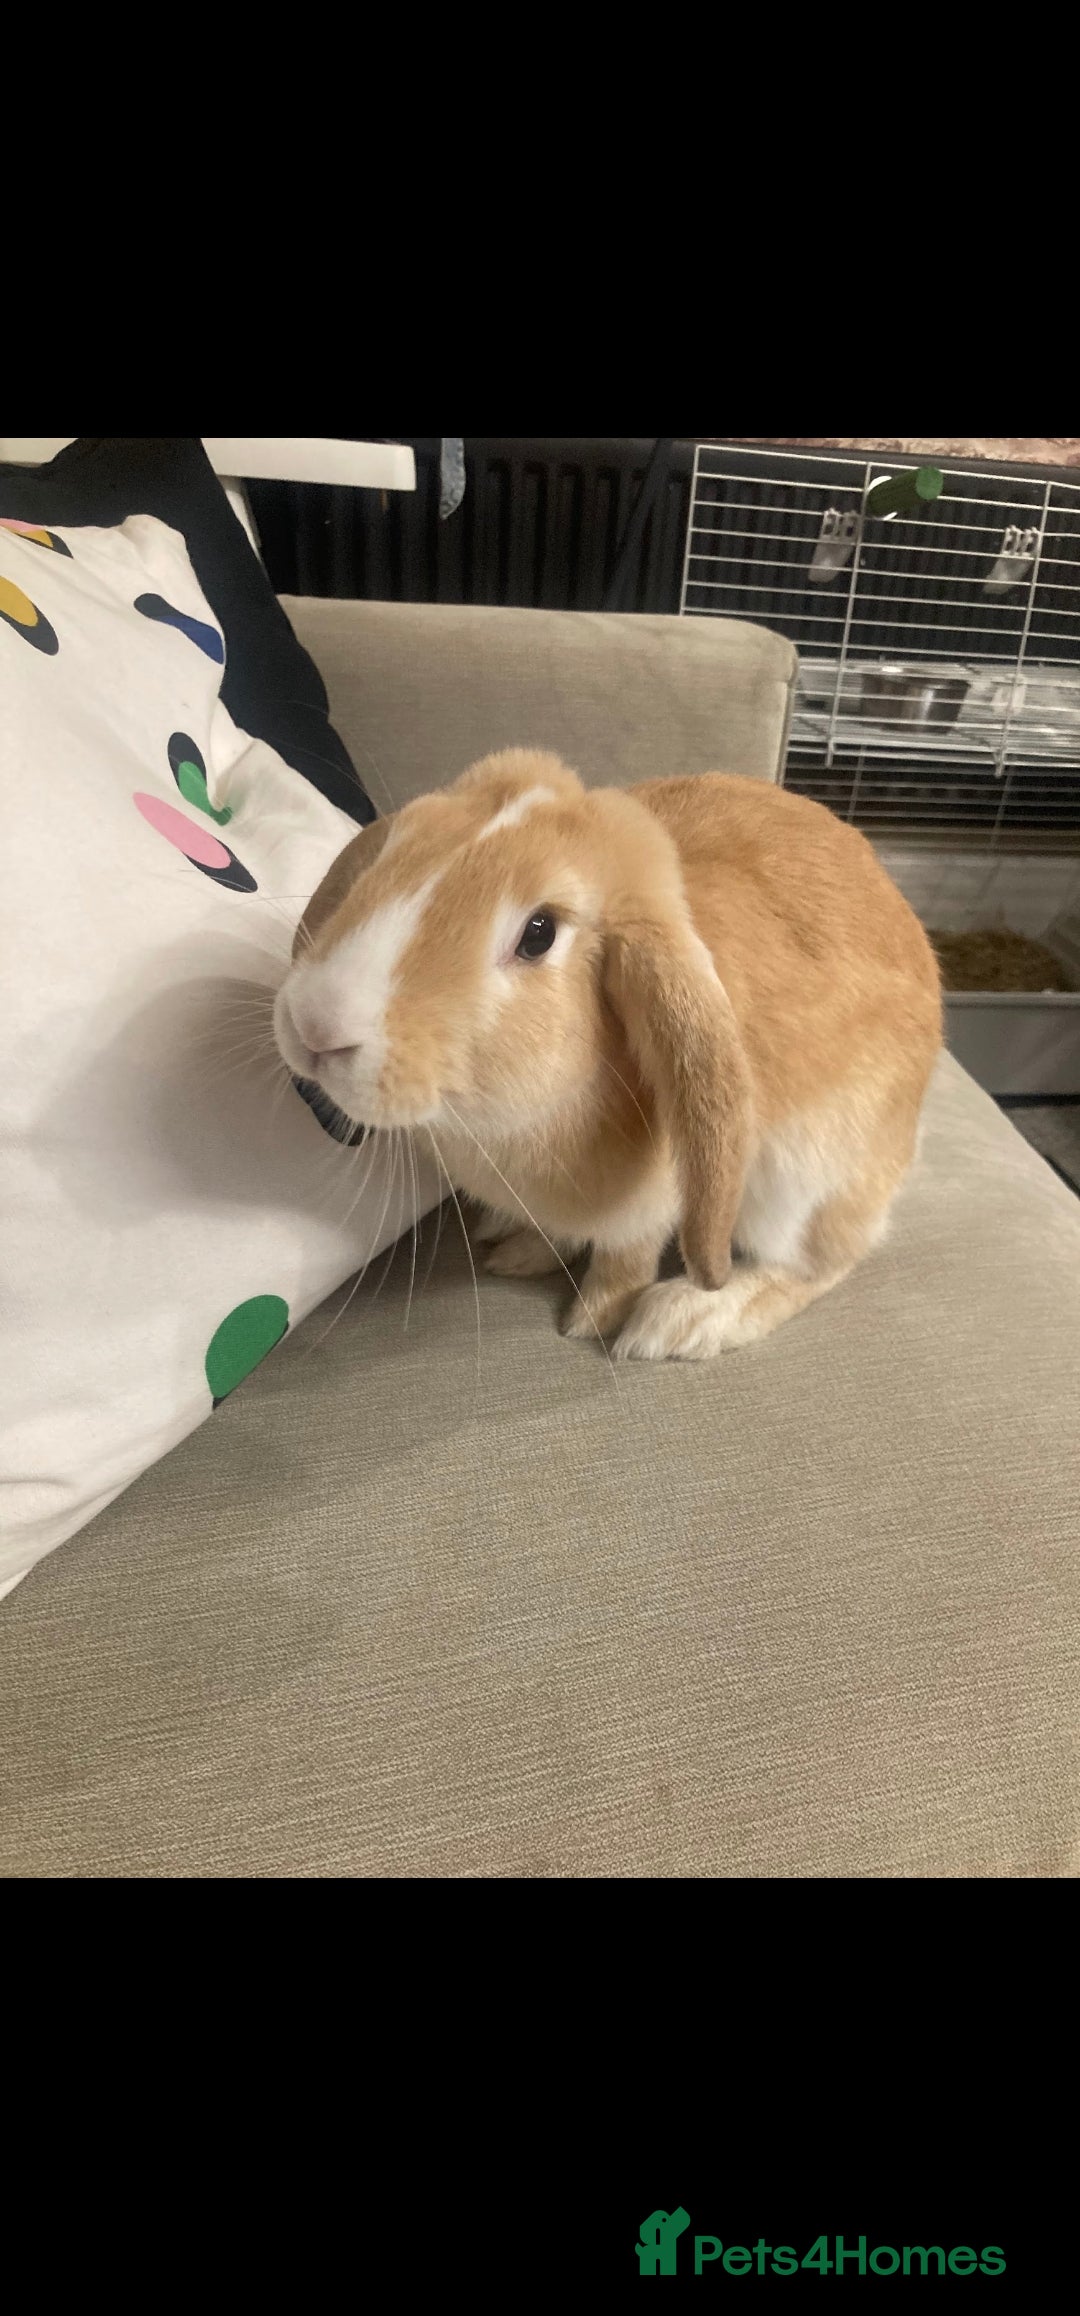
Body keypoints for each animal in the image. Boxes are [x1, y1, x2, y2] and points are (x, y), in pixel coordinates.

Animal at [273, 750, 942, 1360]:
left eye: (539, 934)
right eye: (393, 850)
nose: (316, 1023)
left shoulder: (649, 1208)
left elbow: (626, 1262)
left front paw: (594, 1321)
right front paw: (520, 1253)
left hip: (806, 1178)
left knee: (817, 1264)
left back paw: (684, 1320)